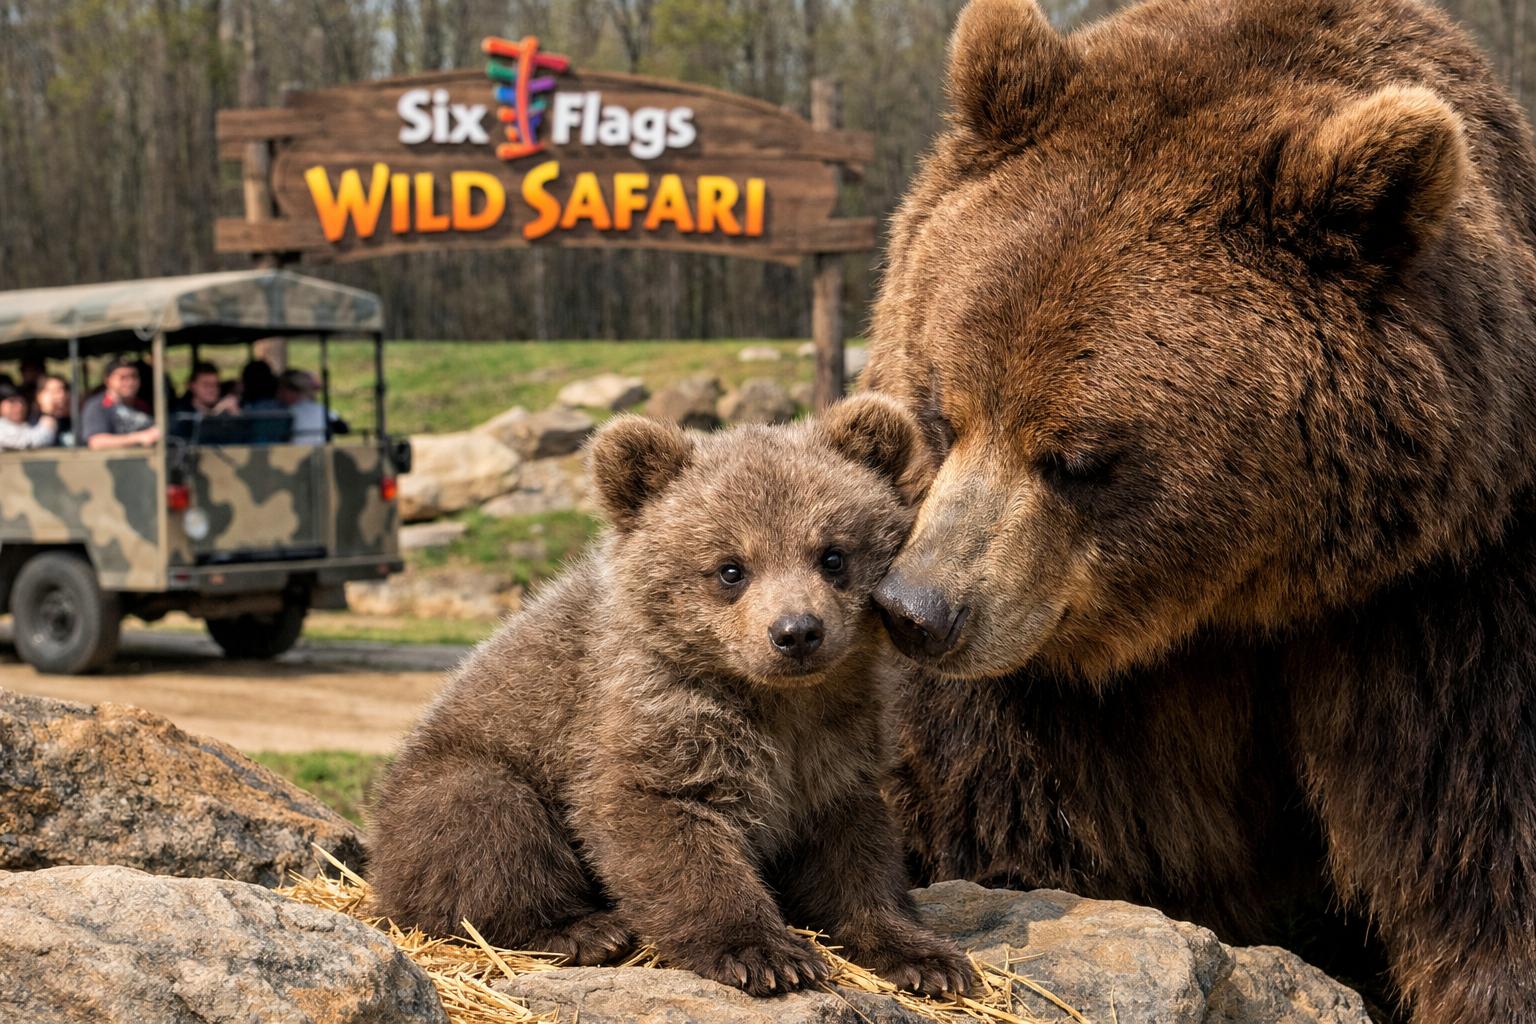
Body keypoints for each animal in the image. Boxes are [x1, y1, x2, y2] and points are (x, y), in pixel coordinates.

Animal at [366, 397, 976, 999]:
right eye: (730, 568)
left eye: (833, 555)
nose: (797, 631)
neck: (776, 701)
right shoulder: (645, 713)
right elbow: (661, 824)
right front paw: (764, 953)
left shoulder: (838, 741)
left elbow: (856, 856)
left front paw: (925, 958)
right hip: (450, 774)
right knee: (484, 822)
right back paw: (585, 930)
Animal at [864, 0, 1536, 1021]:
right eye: (943, 410)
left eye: (1078, 457)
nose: (919, 611)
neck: (1243, 602)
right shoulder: (1046, 704)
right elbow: (1007, 823)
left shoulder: (1448, 597)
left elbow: (1484, 847)